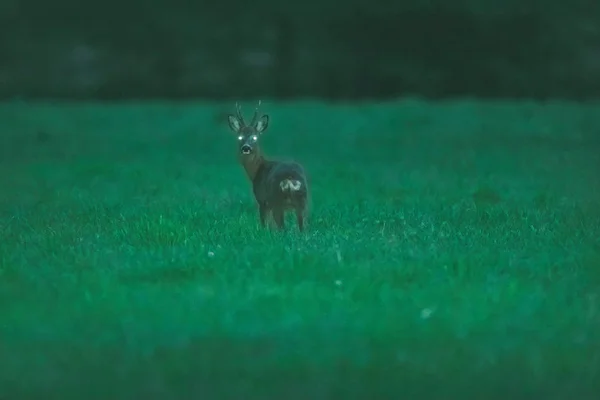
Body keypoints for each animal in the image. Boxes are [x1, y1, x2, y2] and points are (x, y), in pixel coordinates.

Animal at [226, 100, 310, 231]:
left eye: (254, 137)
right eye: (239, 137)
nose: (246, 148)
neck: (257, 169)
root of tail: (289, 180)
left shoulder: (262, 201)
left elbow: (265, 225)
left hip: (277, 201)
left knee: (282, 229)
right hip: (303, 202)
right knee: (302, 229)